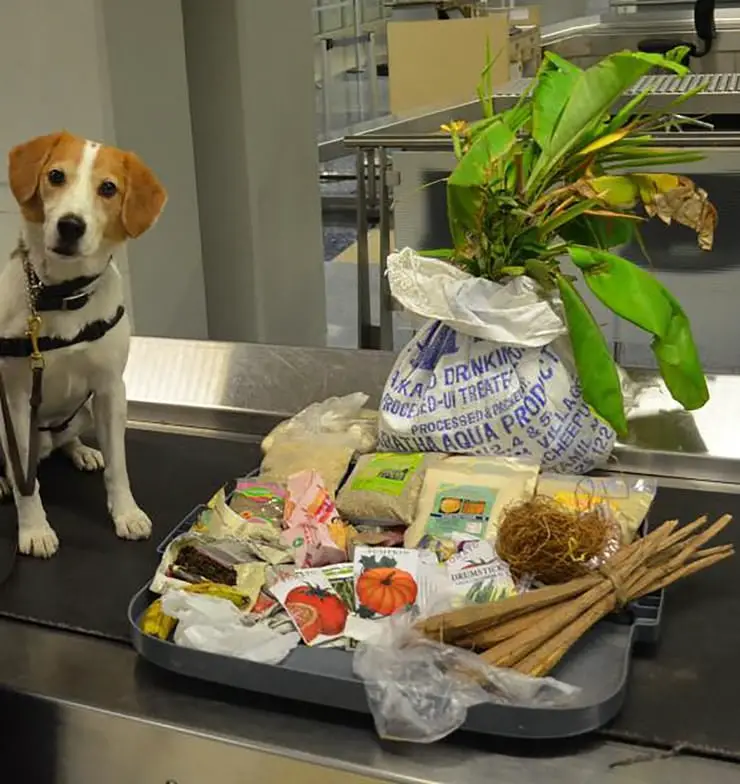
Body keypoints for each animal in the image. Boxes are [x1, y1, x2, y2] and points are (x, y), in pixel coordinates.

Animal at [0, 130, 167, 556]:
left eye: (108, 188)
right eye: (56, 176)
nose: (71, 226)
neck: (59, 293)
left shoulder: (110, 391)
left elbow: (119, 467)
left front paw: (126, 513)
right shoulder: (15, 402)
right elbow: (27, 485)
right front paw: (34, 529)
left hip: (86, 410)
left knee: (68, 437)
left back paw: (81, 450)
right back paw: (2, 481)